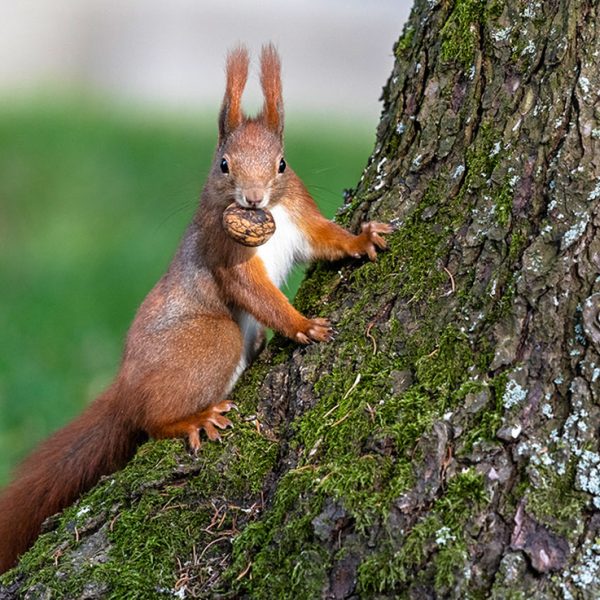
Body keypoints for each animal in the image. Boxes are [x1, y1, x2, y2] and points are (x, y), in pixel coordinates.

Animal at [0, 43, 394, 572]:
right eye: (223, 164)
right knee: (151, 422)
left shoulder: (301, 214)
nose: (253, 198)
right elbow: (254, 292)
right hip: (211, 341)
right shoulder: (224, 250)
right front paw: (301, 324)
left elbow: (325, 240)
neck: (267, 215)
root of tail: (126, 386)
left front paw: (362, 239)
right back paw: (191, 419)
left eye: (282, 164)